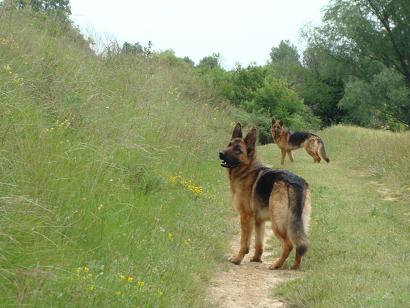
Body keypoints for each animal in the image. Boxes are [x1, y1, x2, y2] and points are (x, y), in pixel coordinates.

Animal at [218, 122, 310, 270]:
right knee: (300, 243)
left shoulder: (246, 217)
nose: (220, 153)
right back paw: (295, 266)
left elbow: (244, 243)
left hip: (277, 223)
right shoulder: (259, 221)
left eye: (238, 150)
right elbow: (258, 244)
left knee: (288, 244)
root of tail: (294, 182)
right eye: (229, 145)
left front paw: (237, 259)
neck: (246, 170)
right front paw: (256, 259)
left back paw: (277, 264)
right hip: (298, 224)